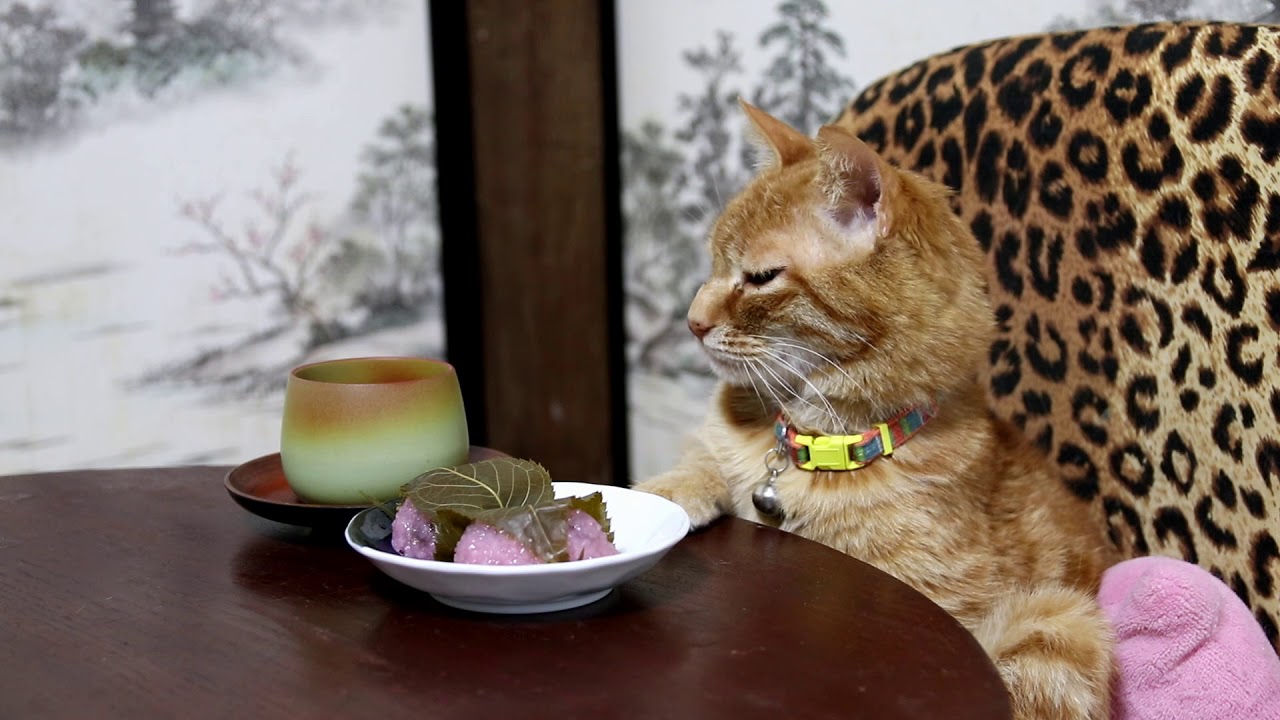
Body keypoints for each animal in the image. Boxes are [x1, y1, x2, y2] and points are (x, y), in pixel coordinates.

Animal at [634, 102, 1116, 717]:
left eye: (761, 277)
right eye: (713, 264)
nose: (691, 322)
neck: (818, 445)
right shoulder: (716, 444)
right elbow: (698, 463)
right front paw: (661, 493)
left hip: (1060, 622)